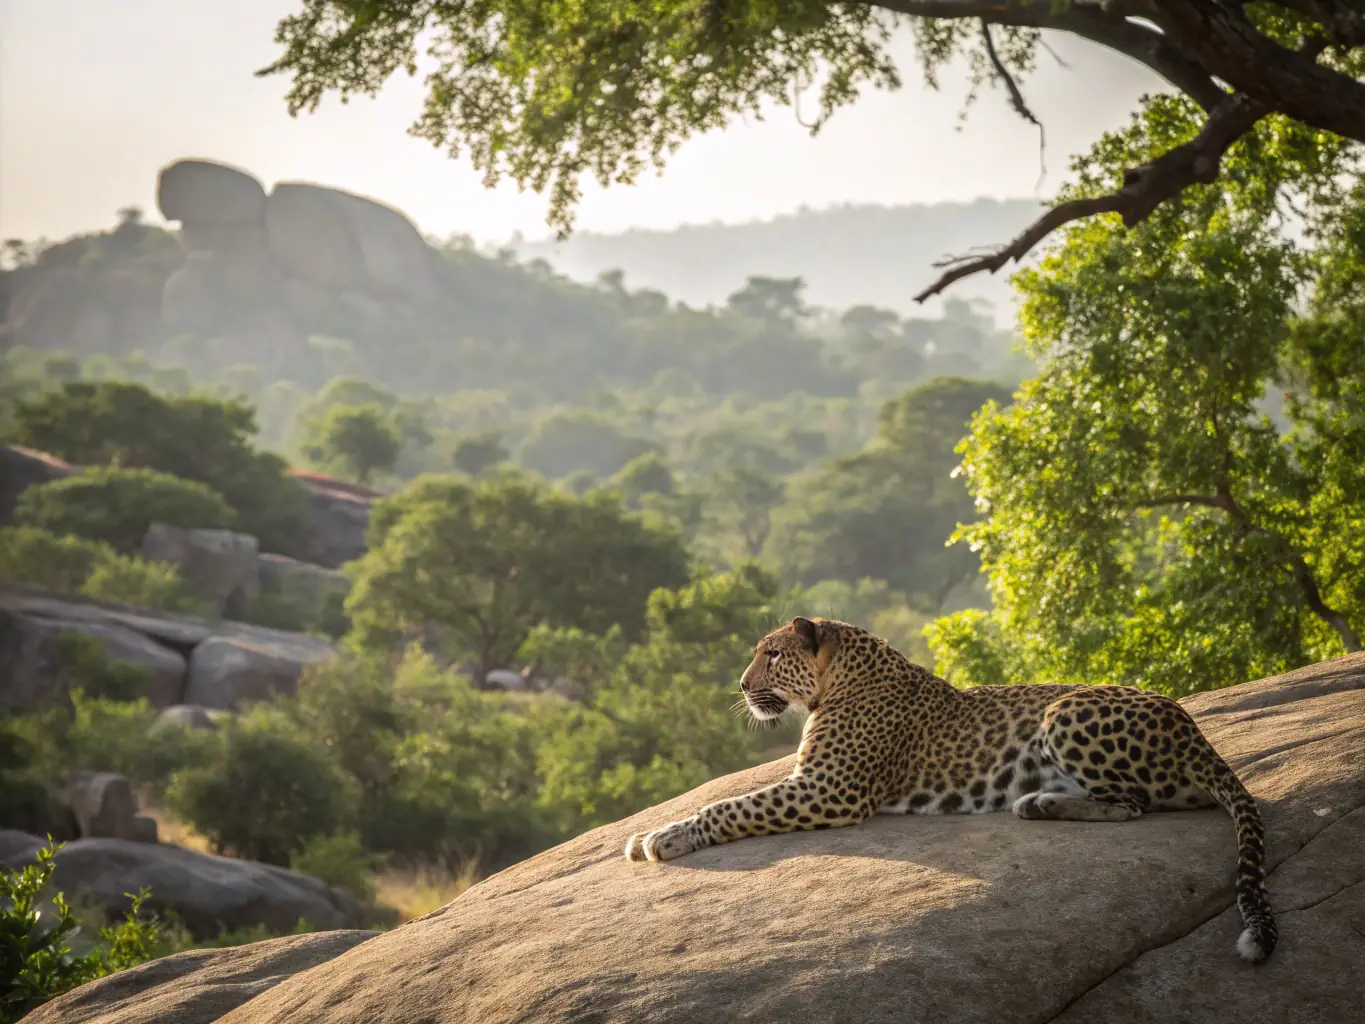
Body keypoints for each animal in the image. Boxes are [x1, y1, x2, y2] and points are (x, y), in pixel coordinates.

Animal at [625, 616, 1277, 963]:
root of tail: (1196, 732)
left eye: (773, 654)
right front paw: (652, 831)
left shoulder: (829, 788)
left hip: (1065, 710)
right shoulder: (811, 779)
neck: (845, 677)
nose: (741, 683)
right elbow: (735, 796)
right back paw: (1037, 800)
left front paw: (665, 838)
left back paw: (1039, 803)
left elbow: (731, 805)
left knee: (1133, 804)